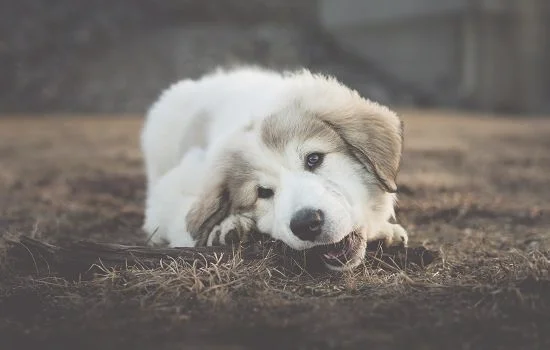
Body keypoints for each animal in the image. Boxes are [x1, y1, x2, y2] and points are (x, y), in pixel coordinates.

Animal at [142, 66, 410, 270]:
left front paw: (386, 231)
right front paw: (224, 228)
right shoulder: (176, 185)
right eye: (263, 192)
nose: (306, 224)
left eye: (314, 159)